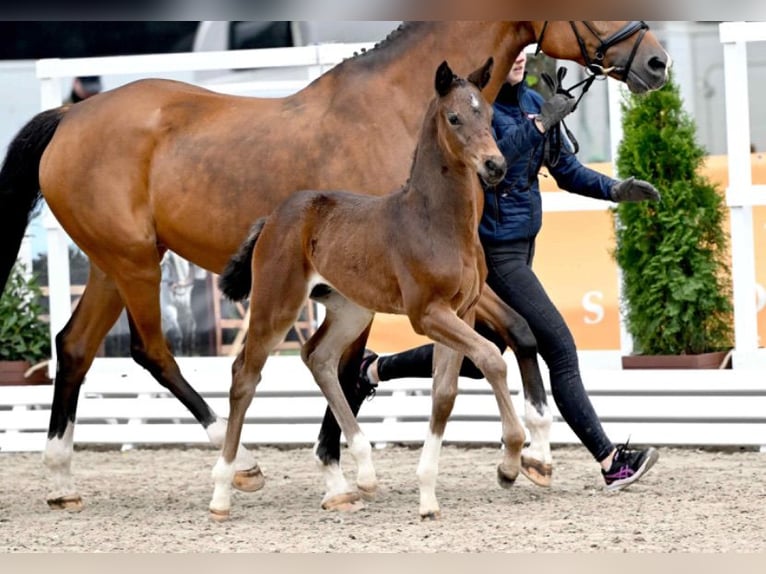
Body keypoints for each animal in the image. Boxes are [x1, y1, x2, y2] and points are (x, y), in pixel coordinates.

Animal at [0, 21, 672, 512]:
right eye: (595, 5)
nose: (657, 63)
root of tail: (69, 115)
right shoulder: (408, 300)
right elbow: (364, 369)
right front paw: (341, 473)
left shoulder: (442, 297)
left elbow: (513, 339)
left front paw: (534, 453)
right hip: (145, 265)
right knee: (161, 353)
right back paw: (238, 467)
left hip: (113, 263)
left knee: (76, 345)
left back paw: (60, 479)